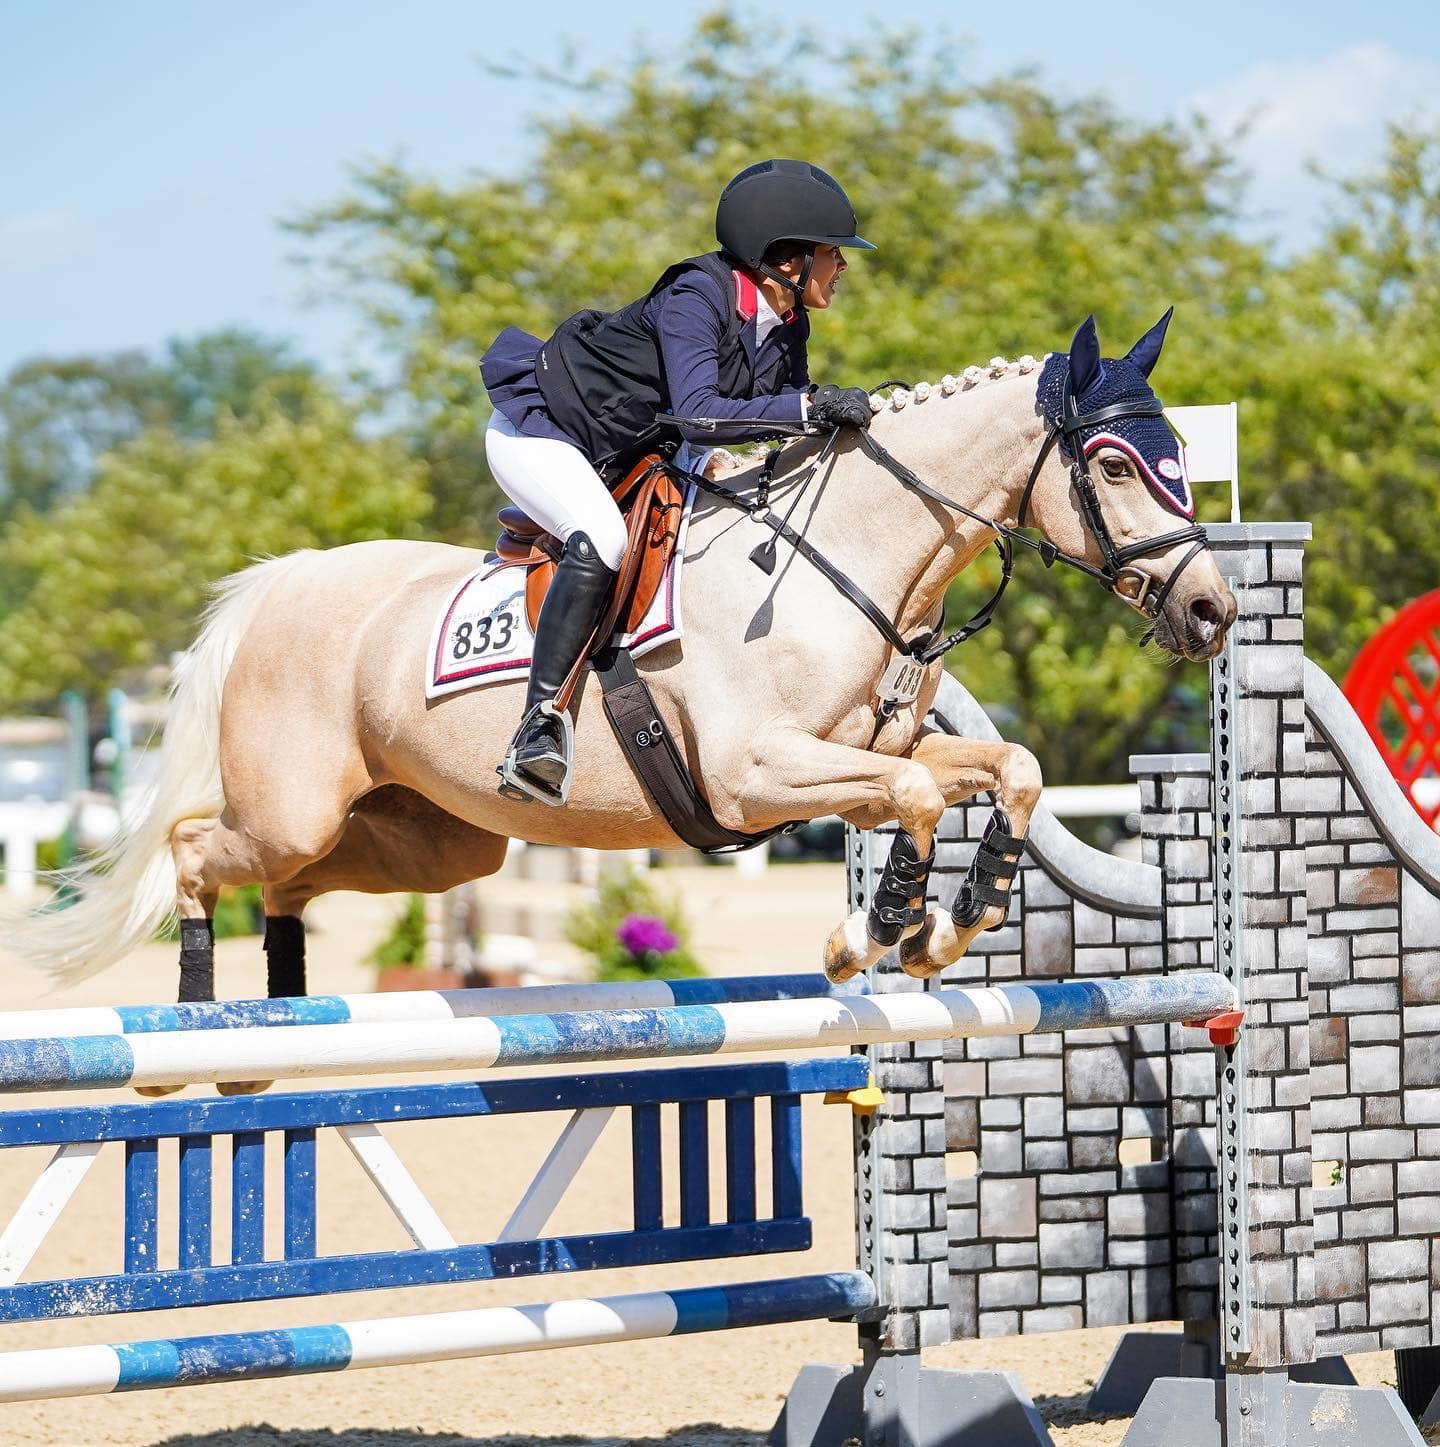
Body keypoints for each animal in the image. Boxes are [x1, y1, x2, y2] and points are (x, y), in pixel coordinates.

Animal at [13, 314, 1235, 1002]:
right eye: (1116, 463)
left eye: (1181, 454)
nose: (1214, 610)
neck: (850, 554)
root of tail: (282, 581)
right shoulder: (754, 775)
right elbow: (918, 797)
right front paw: (880, 930)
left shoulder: (872, 754)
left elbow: (1003, 773)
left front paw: (951, 916)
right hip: (294, 806)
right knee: (194, 849)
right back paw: (200, 1009)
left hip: (433, 841)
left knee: (292, 883)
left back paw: (272, 1005)